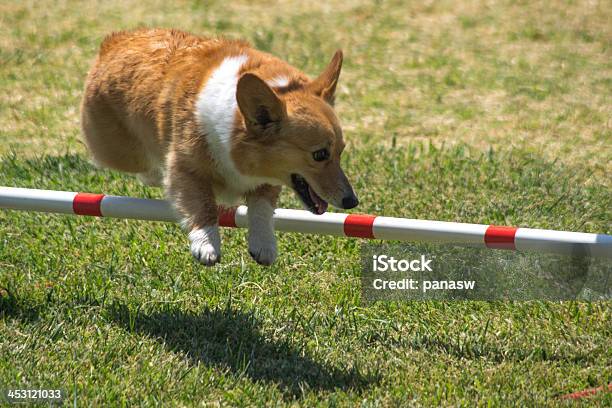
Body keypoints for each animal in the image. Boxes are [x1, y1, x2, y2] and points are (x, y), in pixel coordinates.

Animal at [81, 27, 358, 264]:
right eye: (320, 155)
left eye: (340, 152)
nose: (352, 202)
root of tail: (116, 40)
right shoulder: (186, 169)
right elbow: (202, 205)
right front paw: (207, 245)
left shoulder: (268, 178)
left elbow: (262, 208)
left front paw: (264, 245)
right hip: (118, 152)